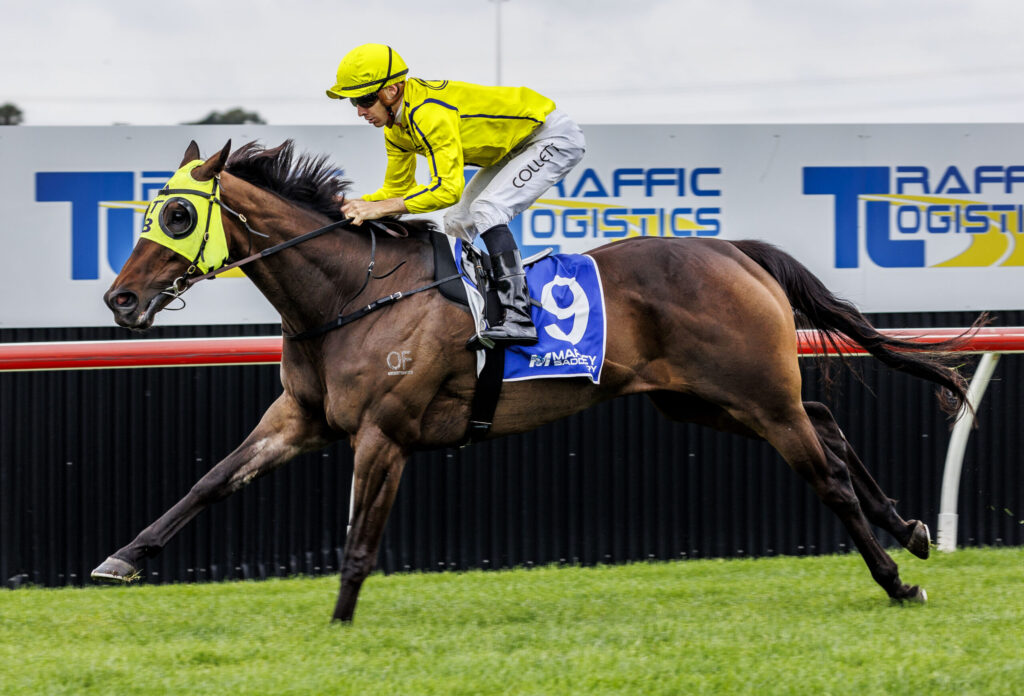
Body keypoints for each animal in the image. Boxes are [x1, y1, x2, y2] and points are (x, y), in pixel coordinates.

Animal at [93, 139, 978, 622]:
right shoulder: (301, 418)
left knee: (823, 472)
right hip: (704, 399)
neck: (350, 295)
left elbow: (359, 540)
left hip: (750, 391)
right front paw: (122, 559)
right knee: (824, 418)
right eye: (148, 212)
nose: (120, 299)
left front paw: (339, 624)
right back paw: (909, 530)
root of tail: (735, 249)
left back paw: (898, 579)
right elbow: (211, 482)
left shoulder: (386, 432)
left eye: (177, 216)